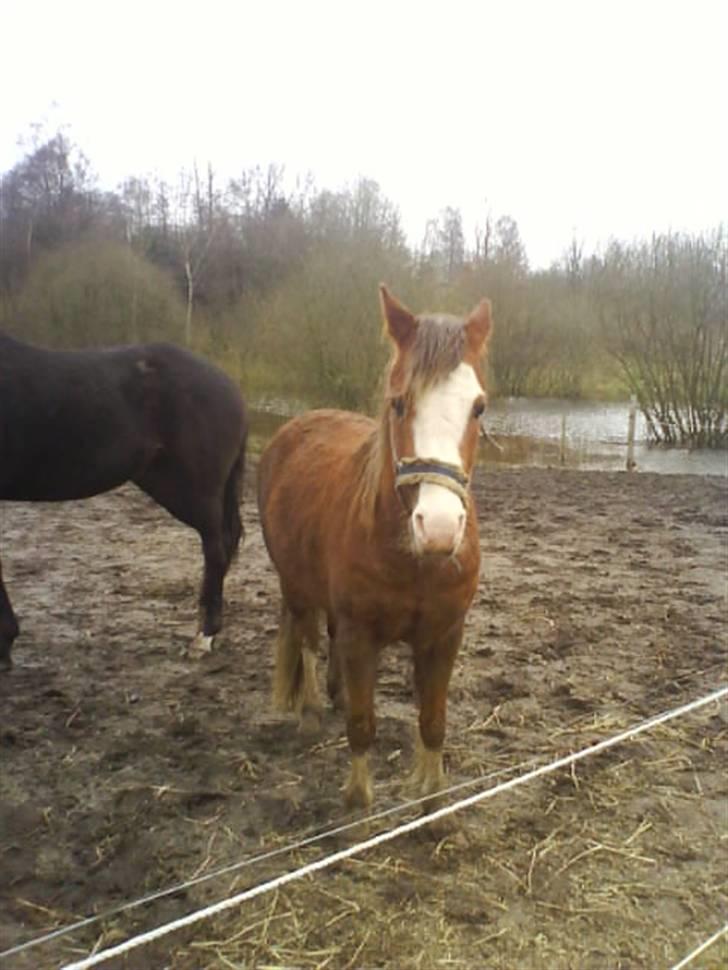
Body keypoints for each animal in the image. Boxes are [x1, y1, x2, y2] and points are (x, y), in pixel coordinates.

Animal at [257, 285, 492, 809]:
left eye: (478, 407)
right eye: (399, 403)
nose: (439, 528)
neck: (413, 559)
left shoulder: (445, 635)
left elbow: (433, 724)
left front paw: (433, 802)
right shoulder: (360, 634)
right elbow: (362, 729)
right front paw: (359, 803)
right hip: (297, 589)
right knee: (307, 642)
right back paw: (311, 709)